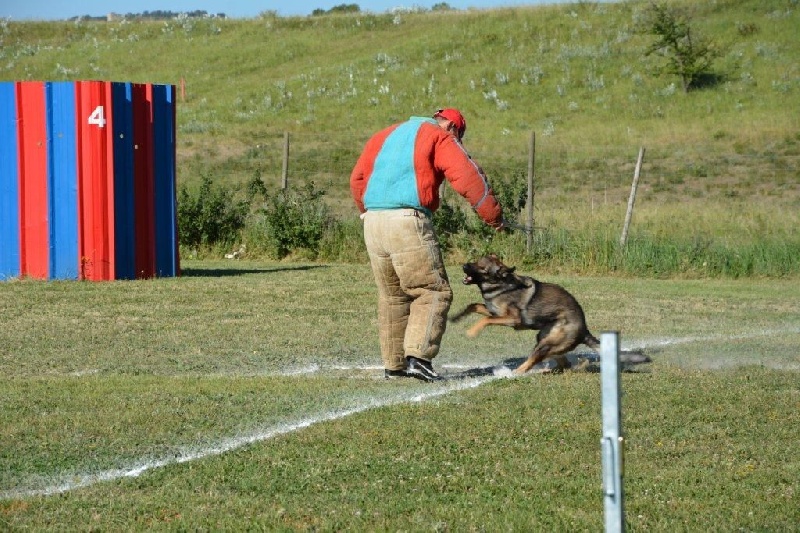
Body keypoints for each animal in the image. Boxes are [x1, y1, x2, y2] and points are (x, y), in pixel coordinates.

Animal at [450, 255, 600, 374]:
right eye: (475, 260)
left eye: (482, 268)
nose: (463, 265)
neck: (500, 284)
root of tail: (585, 331)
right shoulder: (495, 312)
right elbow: (474, 306)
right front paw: (456, 317)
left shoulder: (513, 319)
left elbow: (486, 319)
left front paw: (472, 332)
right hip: (544, 338)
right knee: (564, 364)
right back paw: (545, 371)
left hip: (546, 344)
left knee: (532, 361)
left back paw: (514, 373)